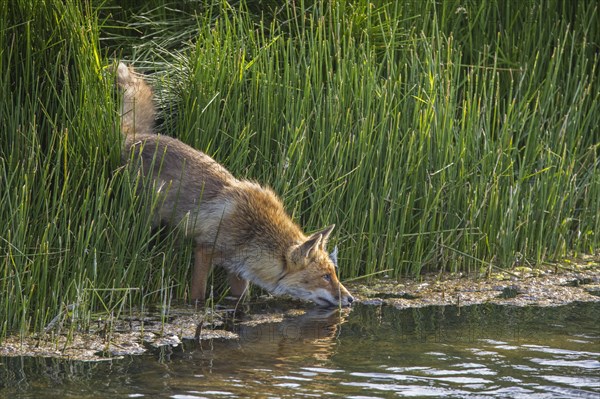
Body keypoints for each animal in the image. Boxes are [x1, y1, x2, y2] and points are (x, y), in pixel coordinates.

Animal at [115, 62, 354, 308]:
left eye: (335, 274)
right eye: (325, 277)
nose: (351, 299)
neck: (254, 233)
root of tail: (136, 138)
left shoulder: (239, 270)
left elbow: (240, 300)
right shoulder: (205, 250)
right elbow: (198, 293)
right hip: (146, 218)